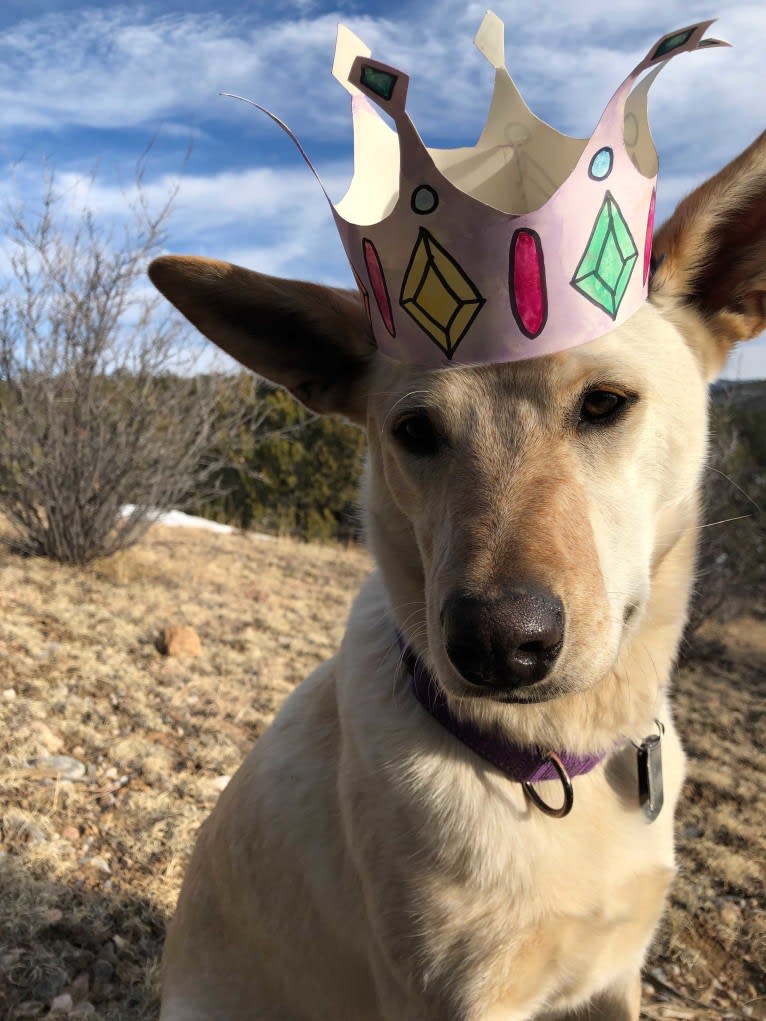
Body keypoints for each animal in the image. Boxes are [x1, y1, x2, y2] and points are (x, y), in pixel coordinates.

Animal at [148, 109, 766, 1012]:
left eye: (605, 403)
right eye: (415, 432)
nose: (498, 644)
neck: (549, 758)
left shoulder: (615, 979)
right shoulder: (454, 995)